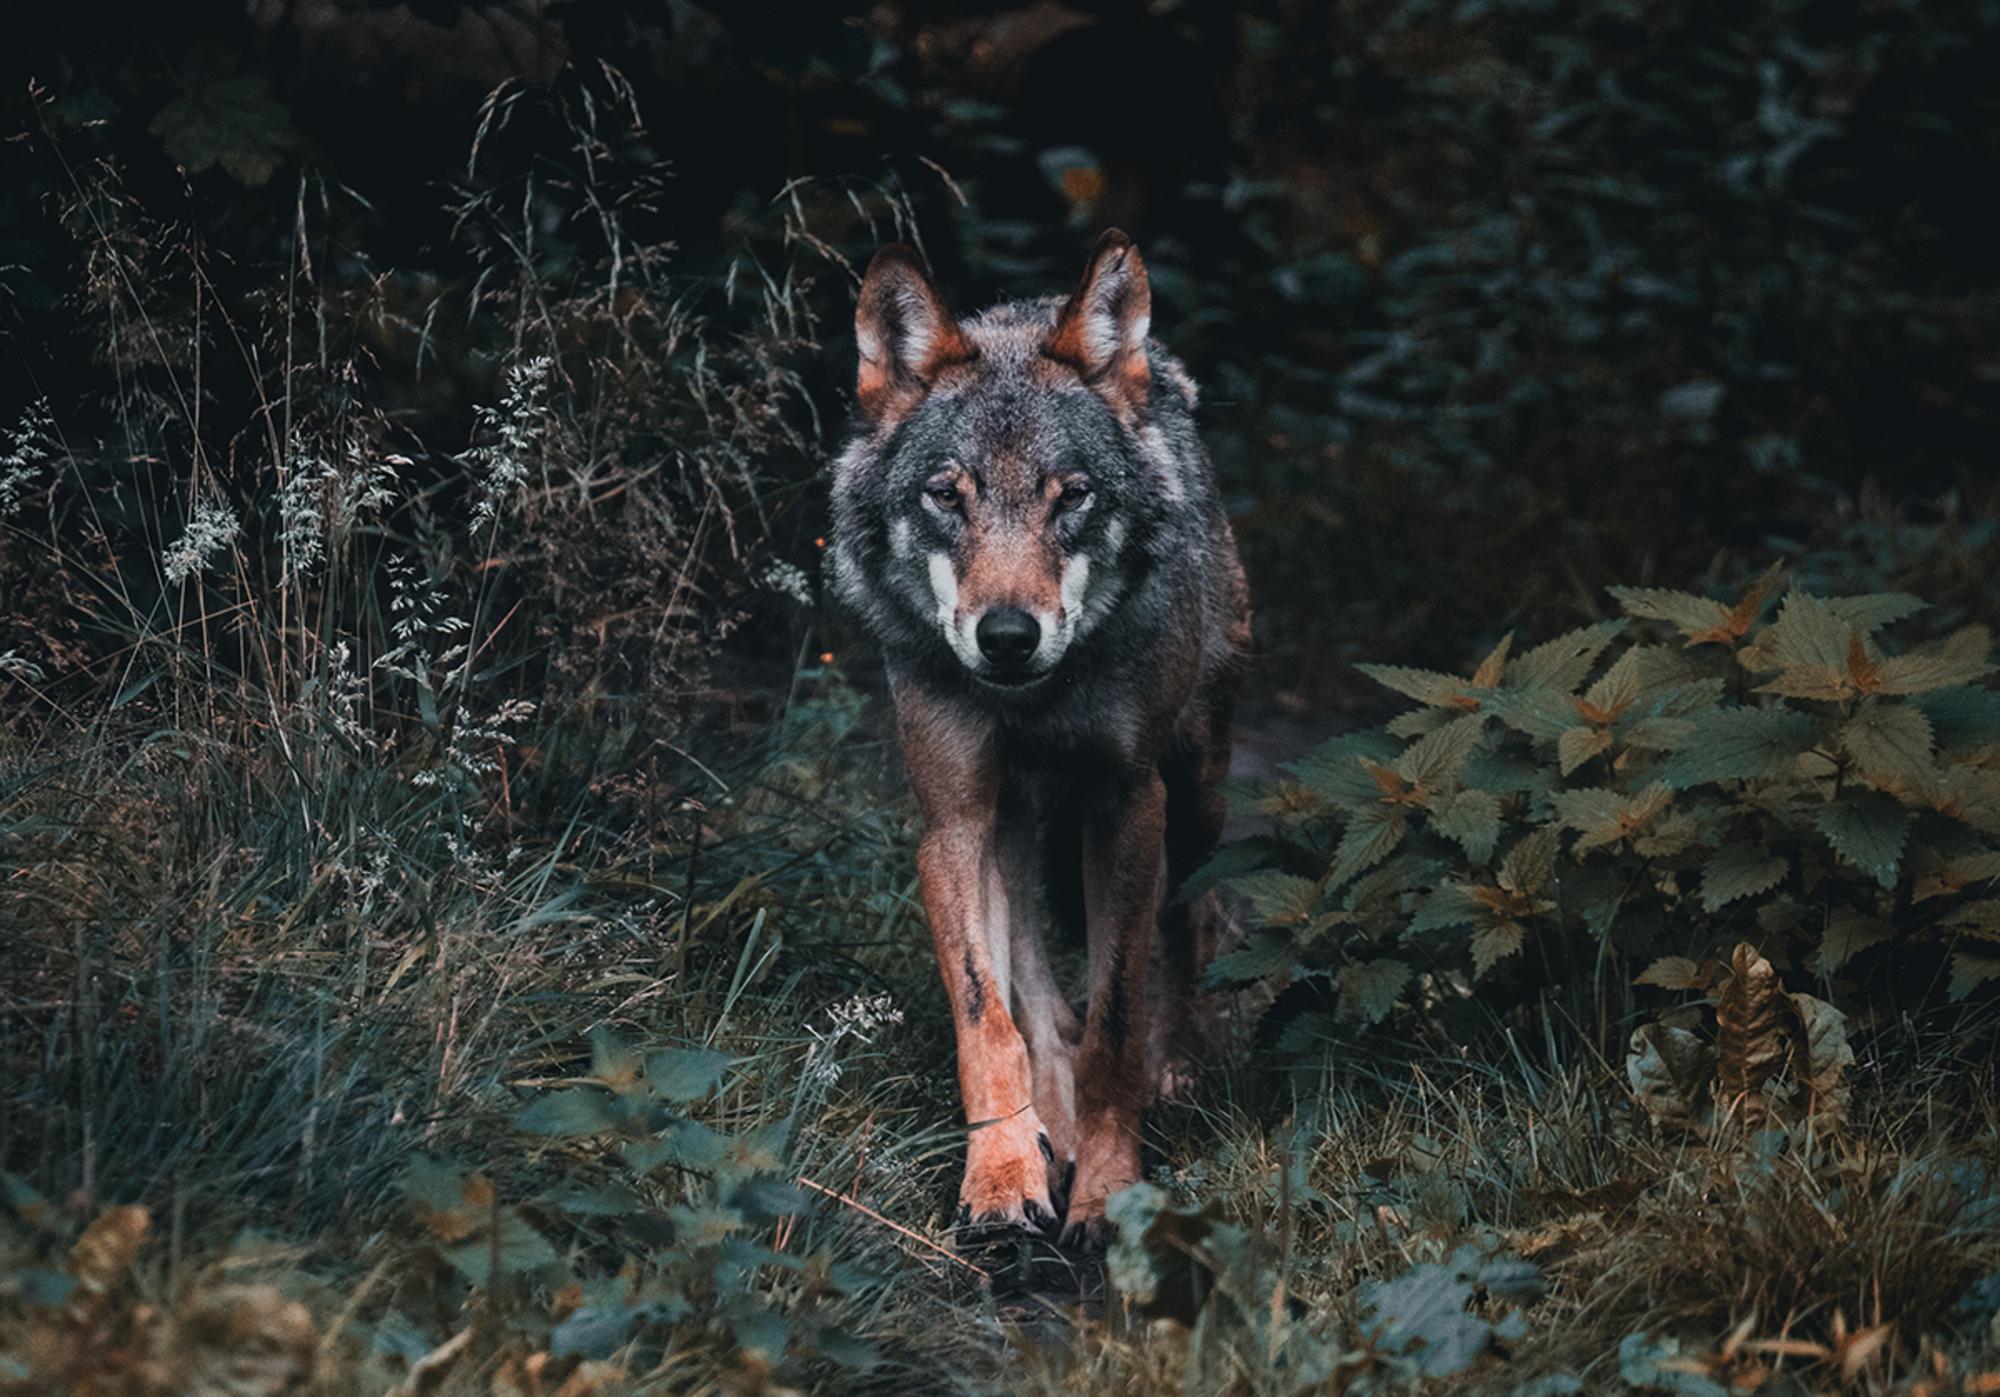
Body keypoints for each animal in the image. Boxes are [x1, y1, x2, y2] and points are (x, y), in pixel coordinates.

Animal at [828, 231, 1250, 1243]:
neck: (1034, 702)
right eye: (947, 496)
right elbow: (991, 1019)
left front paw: (1107, 1185)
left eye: (1074, 497)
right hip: (1012, 827)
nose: (1009, 636)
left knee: (1187, 924)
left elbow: (1115, 1020)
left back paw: (1173, 1071)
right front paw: (1003, 1172)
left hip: (1198, 794)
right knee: (1035, 988)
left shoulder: (1127, 805)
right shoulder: (952, 823)